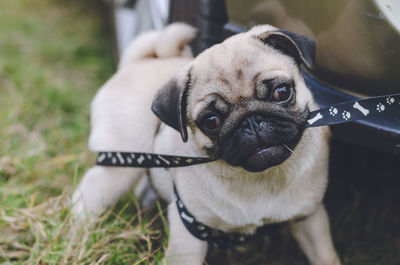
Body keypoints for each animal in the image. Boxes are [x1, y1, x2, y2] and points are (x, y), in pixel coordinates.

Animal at [72, 22, 340, 264]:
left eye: (282, 92)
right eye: (211, 120)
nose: (251, 121)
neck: (260, 179)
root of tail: (140, 61)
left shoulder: (309, 218)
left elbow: (325, 256)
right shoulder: (189, 230)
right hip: (122, 161)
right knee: (94, 188)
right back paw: (78, 230)